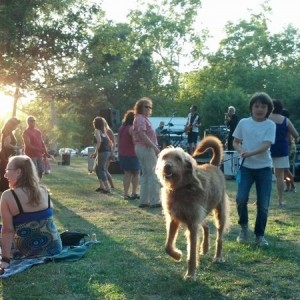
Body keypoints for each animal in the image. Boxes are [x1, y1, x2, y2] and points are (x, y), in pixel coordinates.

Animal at [156, 136, 229, 282]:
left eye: (178, 158)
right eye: (165, 157)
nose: (167, 166)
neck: (180, 188)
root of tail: (213, 164)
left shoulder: (192, 224)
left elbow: (192, 253)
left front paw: (190, 274)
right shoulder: (174, 219)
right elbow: (167, 246)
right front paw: (177, 255)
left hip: (220, 213)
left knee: (219, 237)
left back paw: (218, 257)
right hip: (202, 212)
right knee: (206, 225)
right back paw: (205, 248)